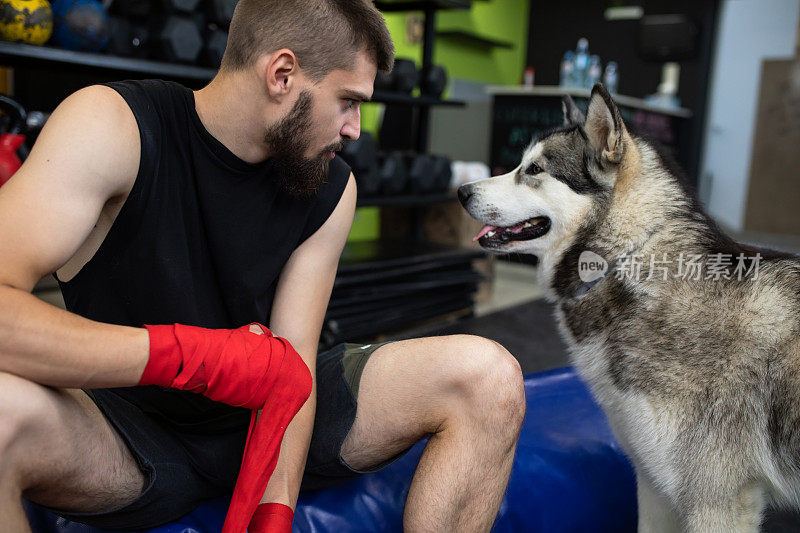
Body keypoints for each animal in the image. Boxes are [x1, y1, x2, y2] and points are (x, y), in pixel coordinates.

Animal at [456, 83, 800, 528]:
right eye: (520, 163)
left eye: (534, 170)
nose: (461, 191)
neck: (626, 259)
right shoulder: (654, 484)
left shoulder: (717, 503)